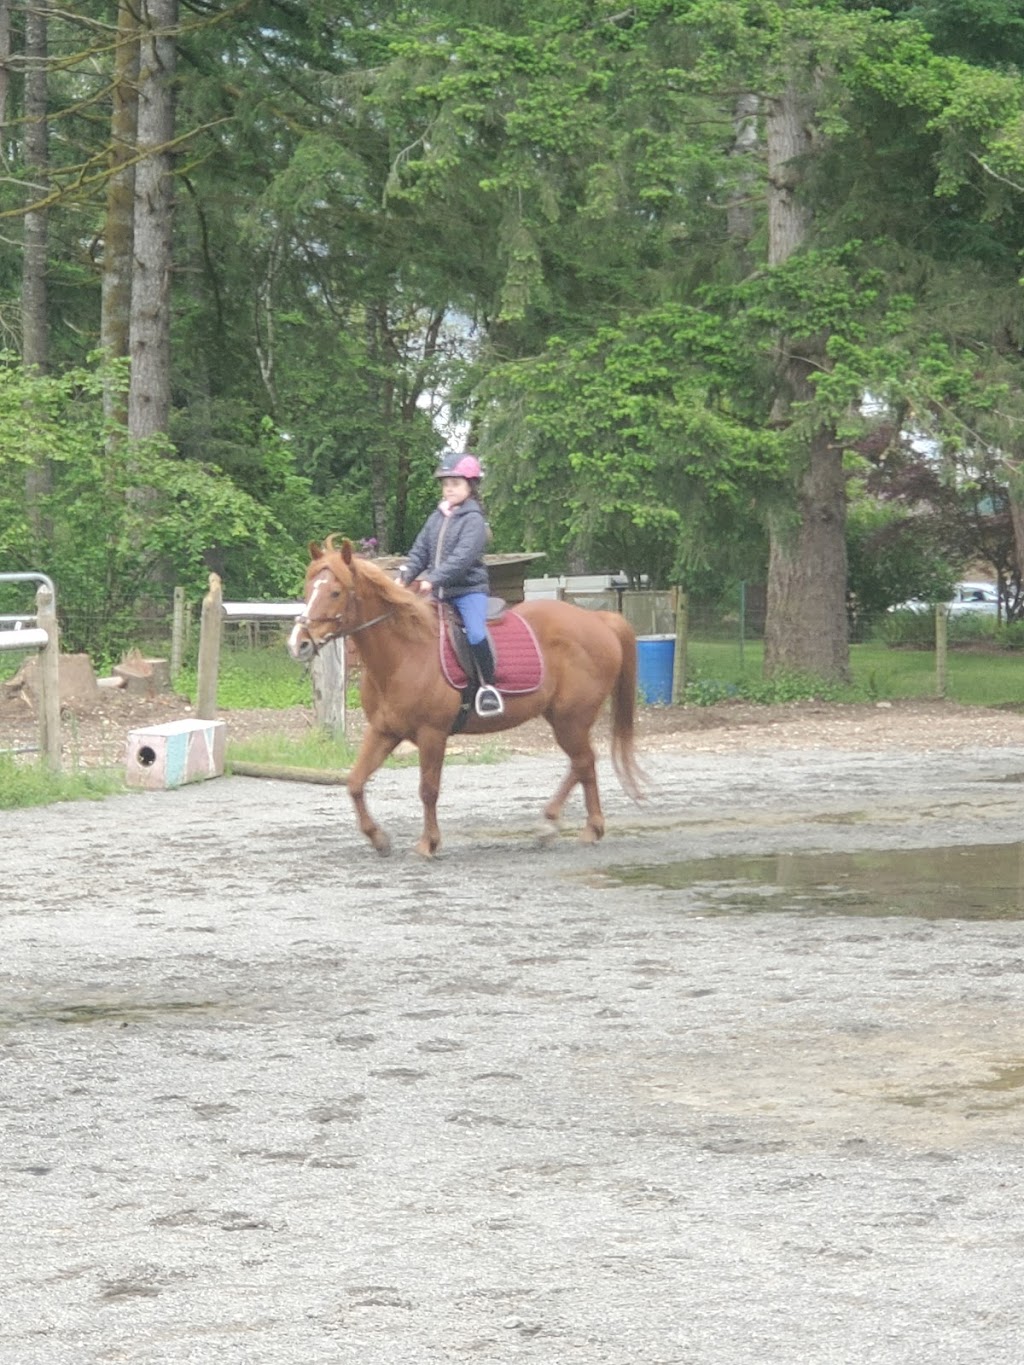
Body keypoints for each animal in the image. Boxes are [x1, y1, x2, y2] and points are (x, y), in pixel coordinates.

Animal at [285, 537, 644, 857]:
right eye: (308, 589)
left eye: (335, 592)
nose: (298, 644)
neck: (405, 652)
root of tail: (599, 619)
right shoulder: (384, 730)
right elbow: (355, 782)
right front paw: (378, 839)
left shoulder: (432, 734)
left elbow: (428, 789)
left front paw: (428, 844)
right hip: (563, 718)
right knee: (580, 764)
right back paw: (551, 824)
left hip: (572, 718)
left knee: (584, 762)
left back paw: (588, 828)